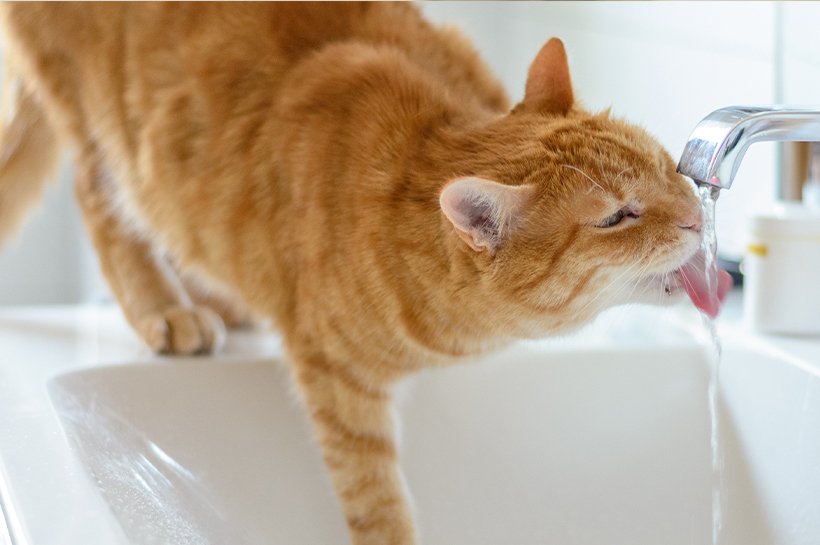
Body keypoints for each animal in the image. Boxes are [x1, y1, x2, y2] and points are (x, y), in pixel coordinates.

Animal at [0, 4, 720, 544]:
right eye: (618, 217)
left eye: (669, 167)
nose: (696, 216)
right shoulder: (336, 382)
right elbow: (375, 499)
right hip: (95, 121)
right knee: (100, 198)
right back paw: (163, 305)